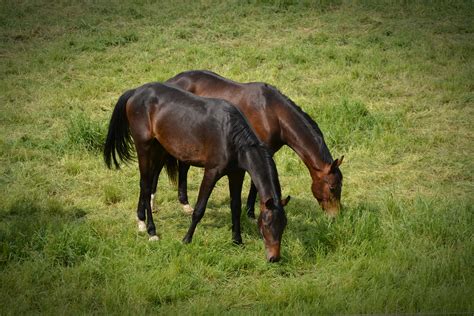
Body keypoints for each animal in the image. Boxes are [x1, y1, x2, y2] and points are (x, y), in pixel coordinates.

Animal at [104, 81, 288, 262]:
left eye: (284, 225)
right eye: (267, 224)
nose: (274, 258)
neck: (231, 136)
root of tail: (135, 92)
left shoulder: (236, 174)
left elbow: (235, 207)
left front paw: (237, 241)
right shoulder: (211, 172)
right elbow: (200, 209)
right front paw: (186, 239)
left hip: (158, 147)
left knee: (145, 183)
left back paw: (141, 221)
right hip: (144, 147)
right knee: (146, 184)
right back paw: (151, 231)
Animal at [167, 69, 344, 217]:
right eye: (332, 187)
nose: (336, 216)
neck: (273, 113)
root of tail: (172, 81)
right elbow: (254, 183)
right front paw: (250, 212)